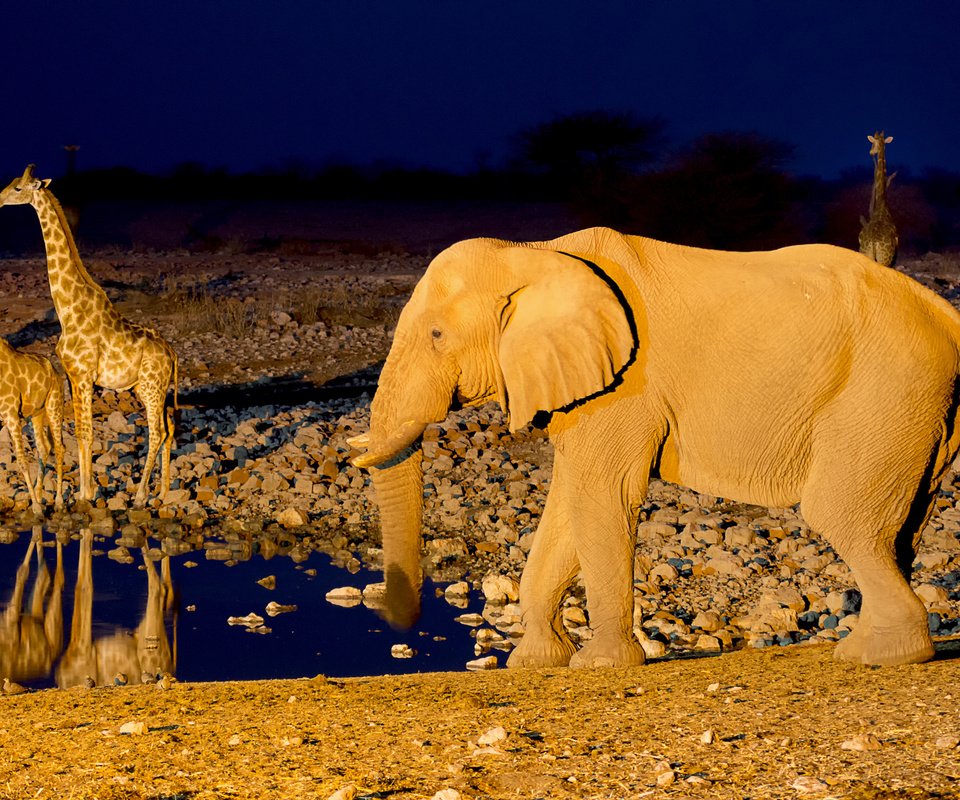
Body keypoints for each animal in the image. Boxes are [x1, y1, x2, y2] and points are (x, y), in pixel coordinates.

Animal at [0, 338, 64, 512]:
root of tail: (54, 370)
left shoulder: (11, 414)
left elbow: (22, 461)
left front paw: (35, 507)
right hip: (35, 414)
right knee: (44, 447)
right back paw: (39, 495)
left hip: (54, 404)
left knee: (59, 448)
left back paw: (58, 501)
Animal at [348, 227, 960, 668]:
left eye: (436, 336)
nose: (398, 622)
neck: (532, 254)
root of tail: (946, 314)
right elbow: (568, 505)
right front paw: (535, 663)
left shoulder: (625, 386)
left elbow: (601, 497)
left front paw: (600, 666)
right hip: (917, 412)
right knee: (901, 529)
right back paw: (869, 646)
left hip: (883, 392)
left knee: (840, 514)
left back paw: (881, 656)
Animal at [860, 131, 896, 268]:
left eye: (873, 143)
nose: (871, 152)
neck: (882, 202)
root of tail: (874, 242)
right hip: (884, 258)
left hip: (866, 254)